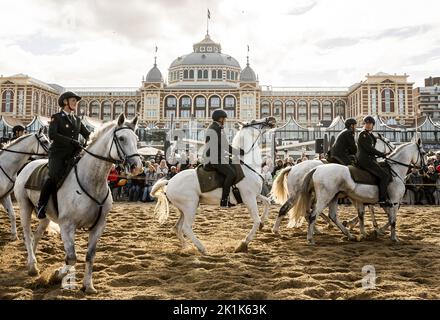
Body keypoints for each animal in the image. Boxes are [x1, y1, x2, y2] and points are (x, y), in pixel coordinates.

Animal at [14, 114, 143, 294]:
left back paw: (31, 261)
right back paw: (32, 266)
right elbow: (71, 258)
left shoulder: (98, 226)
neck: (92, 182)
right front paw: (59, 276)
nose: (137, 167)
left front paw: (88, 286)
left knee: (37, 235)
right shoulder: (67, 226)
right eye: (122, 138)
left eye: (136, 139)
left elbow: (89, 256)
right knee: (27, 233)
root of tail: (29, 164)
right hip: (25, 207)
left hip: (45, 216)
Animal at [151, 116, 276, 254]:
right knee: (186, 228)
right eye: (253, 121)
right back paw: (202, 249)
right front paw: (243, 244)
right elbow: (256, 220)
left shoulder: (255, 195)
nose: (270, 119)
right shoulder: (249, 198)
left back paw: (187, 248)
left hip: (184, 209)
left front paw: (263, 223)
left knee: (177, 227)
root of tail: (170, 182)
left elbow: (267, 203)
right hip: (190, 206)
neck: (248, 165)